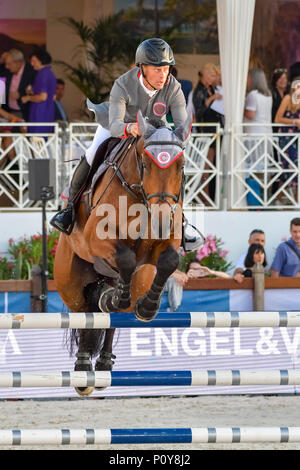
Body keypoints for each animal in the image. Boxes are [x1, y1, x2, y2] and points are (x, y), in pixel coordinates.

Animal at [53, 112, 192, 394]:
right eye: (146, 165)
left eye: (181, 166)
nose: (161, 218)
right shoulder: (97, 240)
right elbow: (126, 258)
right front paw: (118, 298)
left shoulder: (162, 245)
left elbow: (169, 260)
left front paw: (147, 308)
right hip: (70, 285)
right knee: (84, 312)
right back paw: (83, 368)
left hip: (139, 280)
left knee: (112, 315)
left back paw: (104, 360)